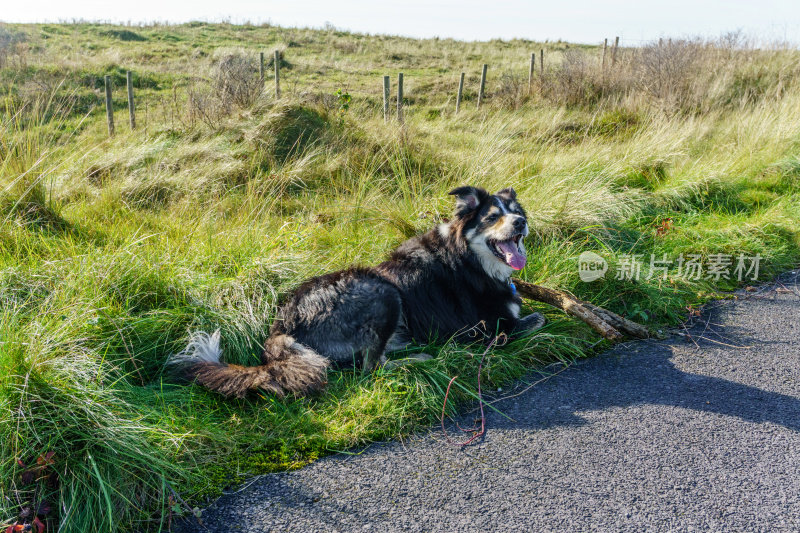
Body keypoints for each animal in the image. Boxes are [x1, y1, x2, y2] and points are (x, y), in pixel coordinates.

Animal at [169, 185, 544, 396]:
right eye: (492, 217)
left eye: (516, 213)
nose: (521, 223)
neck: (470, 258)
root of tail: (283, 327)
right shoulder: (489, 330)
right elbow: (536, 320)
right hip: (383, 292)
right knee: (371, 368)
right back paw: (424, 358)